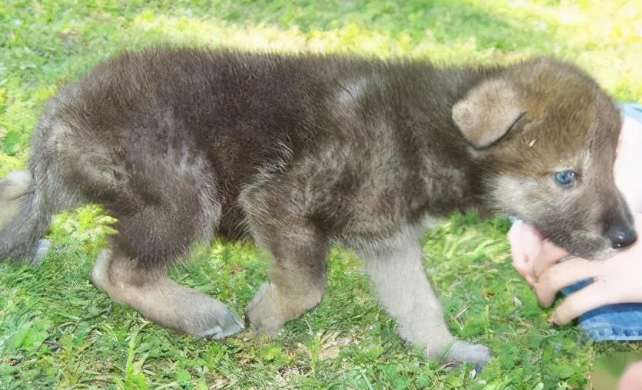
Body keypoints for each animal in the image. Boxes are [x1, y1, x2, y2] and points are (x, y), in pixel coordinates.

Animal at [0, 49, 632, 368]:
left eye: (611, 166)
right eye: (567, 176)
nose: (627, 240)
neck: (432, 134)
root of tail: (58, 118)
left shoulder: (390, 242)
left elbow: (420, 305)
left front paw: (445, 350)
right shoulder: (280, 199)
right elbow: (306, 285)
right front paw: (263, 318)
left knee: (20, 188)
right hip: (182, 192)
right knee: (116, 269)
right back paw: (202, 314)